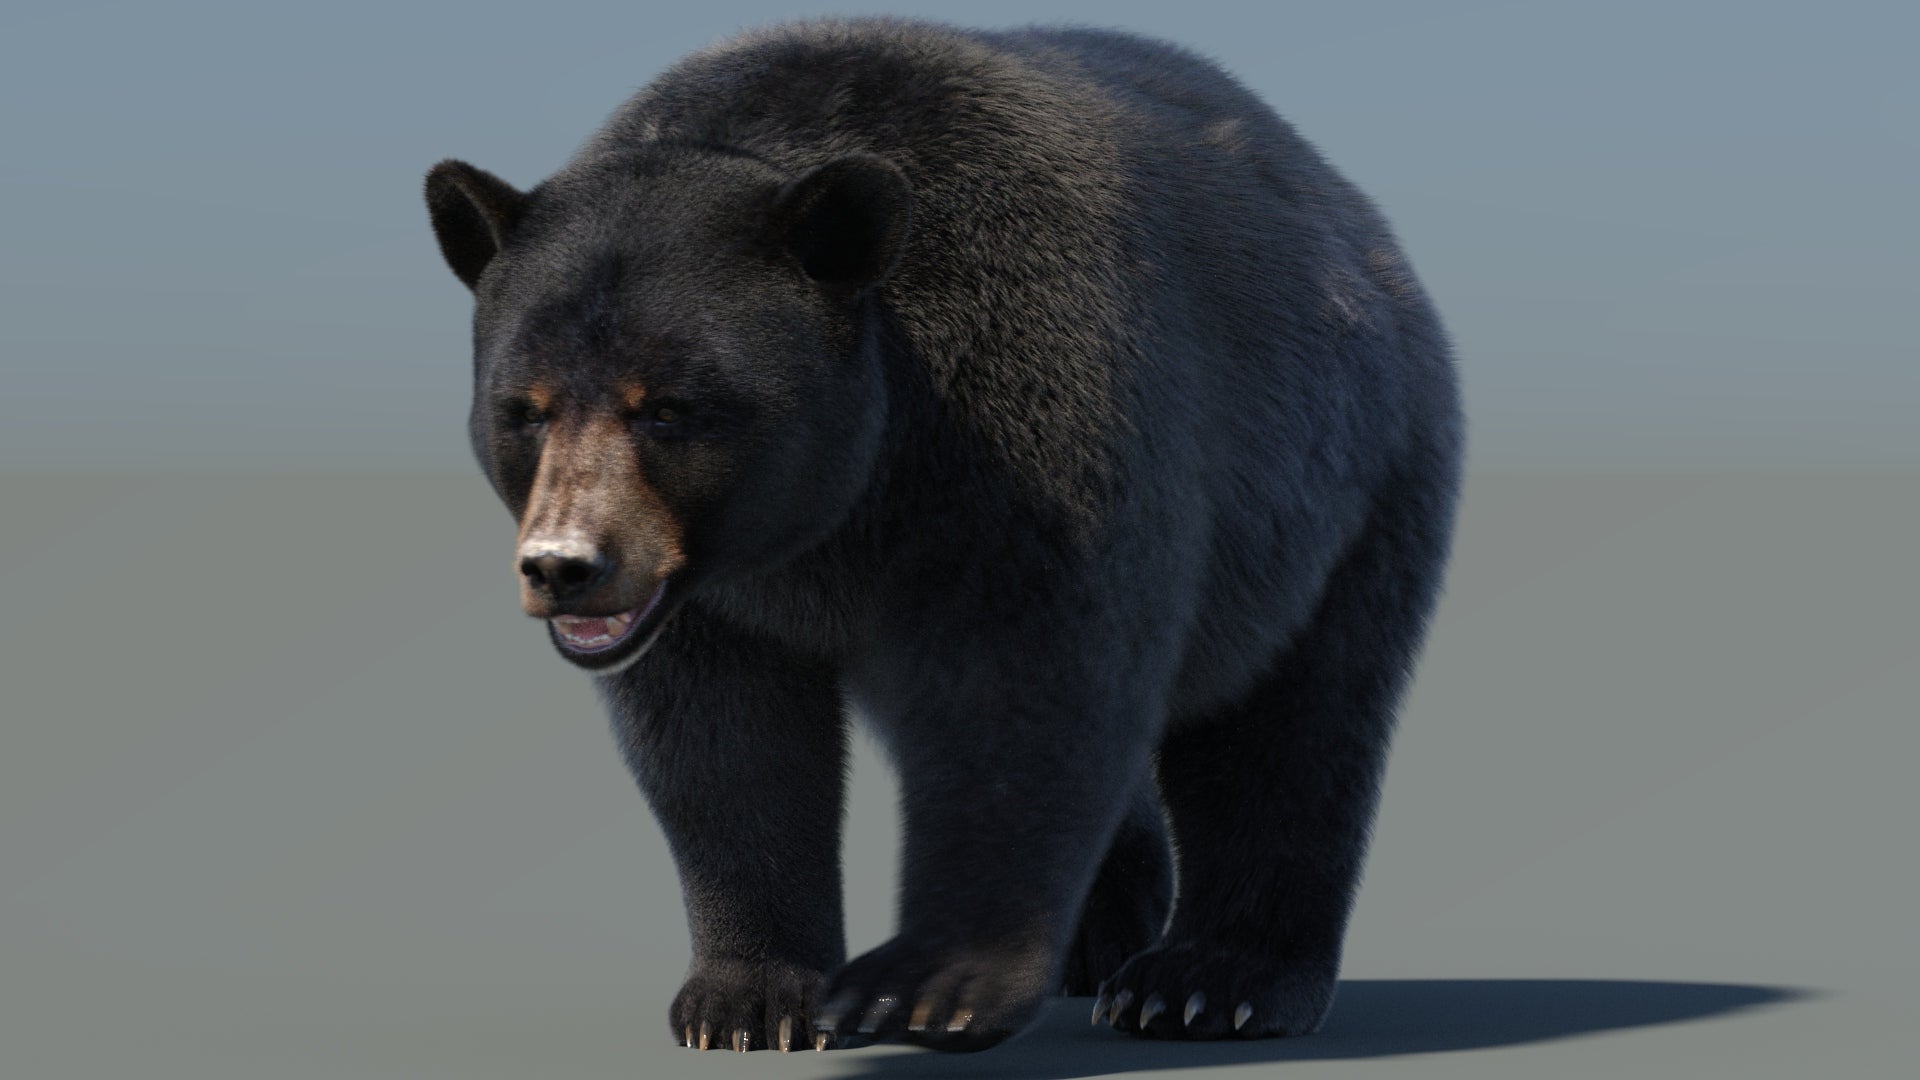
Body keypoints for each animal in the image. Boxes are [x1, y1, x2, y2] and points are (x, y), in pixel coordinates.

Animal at [424, 17, 1461, 1054]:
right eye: (524, 409)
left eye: (670, 408)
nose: (565, 567)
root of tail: (1358, 218)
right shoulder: (712, 593)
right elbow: (723, 740)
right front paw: (748, 999)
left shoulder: (1028, 415)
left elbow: (1021, 686)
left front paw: (928, 983)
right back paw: (1104, 937)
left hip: (1344, 482)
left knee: (1297, 720)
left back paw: (1211, 979)